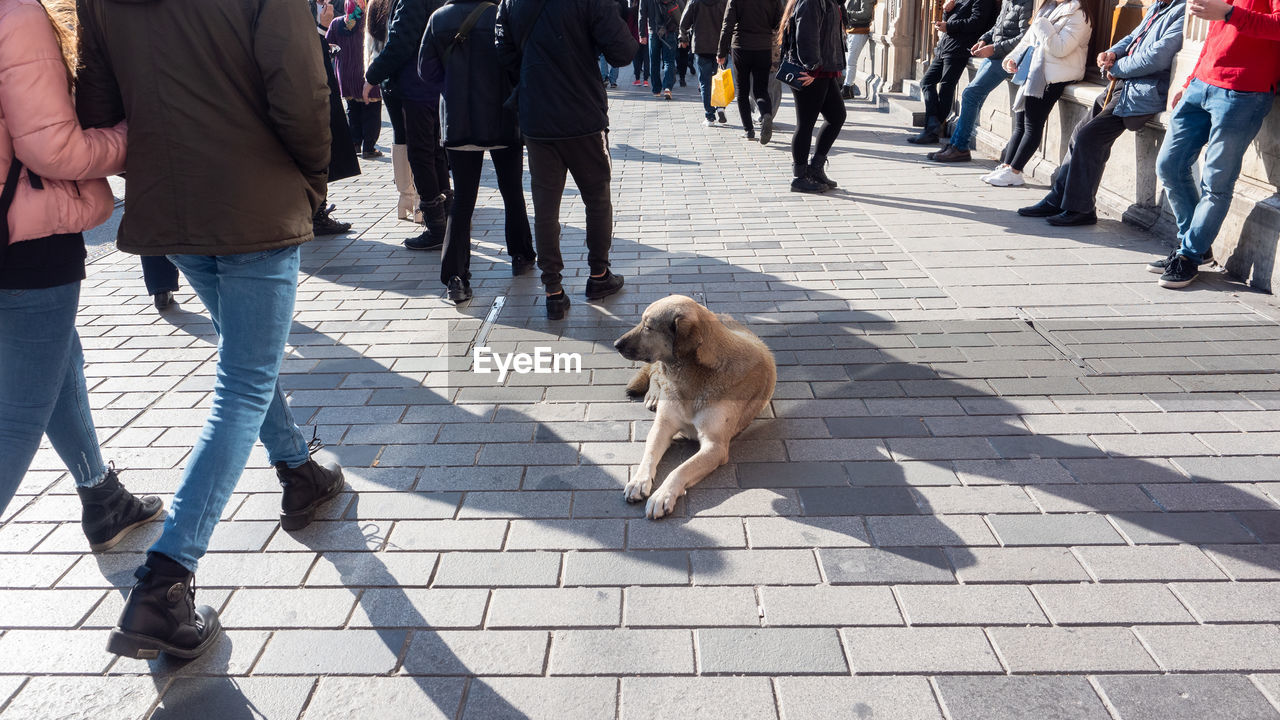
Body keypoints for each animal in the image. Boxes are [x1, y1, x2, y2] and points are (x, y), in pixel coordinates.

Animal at [611, 294, 773, 517]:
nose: (616, 344)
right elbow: (650, 454)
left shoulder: (715, 446)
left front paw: (662, 495)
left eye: (648, 327)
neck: (692, 376)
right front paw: (639, 481)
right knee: (655, 371)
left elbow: (681, 469)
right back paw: (654, 393)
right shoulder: (662, 426)